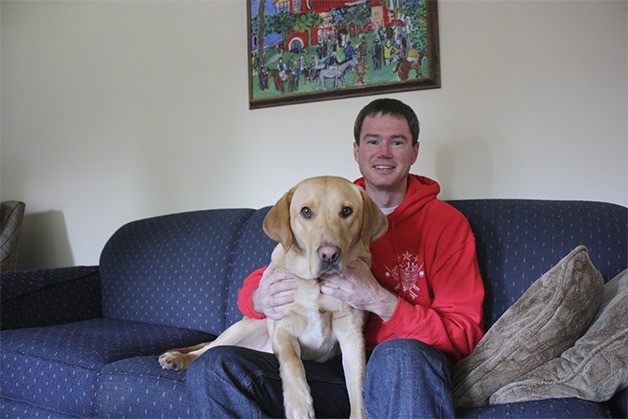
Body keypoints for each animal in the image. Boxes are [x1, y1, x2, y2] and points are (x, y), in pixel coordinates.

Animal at [158, 177, 388, 419]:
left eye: (346, 211)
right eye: (306, 211)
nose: (329, 254)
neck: (316, 286)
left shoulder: (352, 337)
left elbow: (358, 387)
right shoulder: (282, 330)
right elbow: (292, 362)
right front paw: (299, 404)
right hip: (249, 327)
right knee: (206, 350)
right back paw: (177, 358)